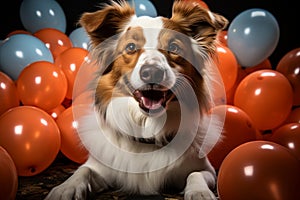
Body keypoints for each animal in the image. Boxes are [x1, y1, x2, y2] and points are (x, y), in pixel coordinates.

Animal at [44, 0, 227, 199]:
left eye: (174, 48)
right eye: (131, 47)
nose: (152, 72)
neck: (147, 128)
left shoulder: (207, 169)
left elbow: (195, 174)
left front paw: (200, 192)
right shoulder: (100, 166)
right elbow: (83, 171)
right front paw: (64, 189)